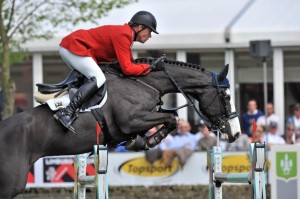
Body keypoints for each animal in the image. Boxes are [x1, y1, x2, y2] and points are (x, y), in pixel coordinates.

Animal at [0, 56, 240, 198]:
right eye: (226, 97)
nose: (236, 133)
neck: (145, 83)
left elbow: (170, 116)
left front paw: (140, 140)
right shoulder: (131, 120)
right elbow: (171, 118)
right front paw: (149, 140)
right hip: (12, 183)